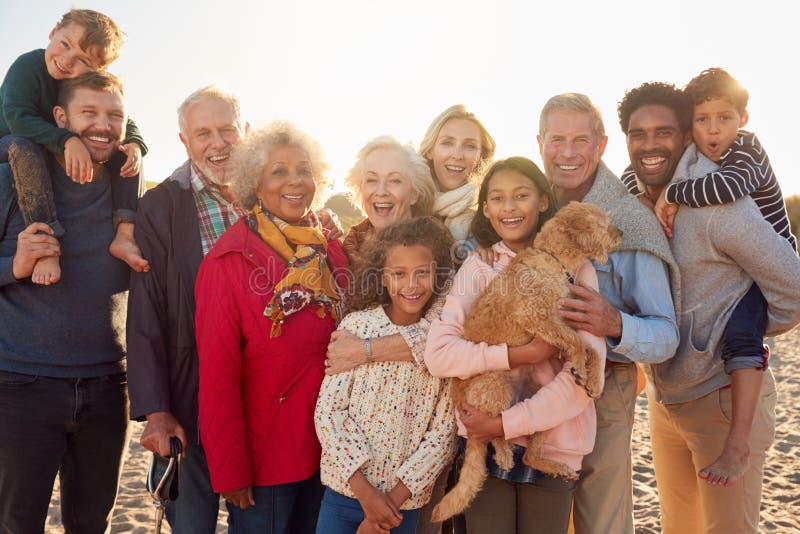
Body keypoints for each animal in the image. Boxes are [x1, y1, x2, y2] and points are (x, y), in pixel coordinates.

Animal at [434, 202, 620, 524]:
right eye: (602, 223)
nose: (620, 233)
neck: (553, 260)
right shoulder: (538, 318)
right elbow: (578, 343)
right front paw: (581, 368)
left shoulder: (566, 324)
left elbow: (591, 349)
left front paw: (592, 380)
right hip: (495, 387)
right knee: (494, 432)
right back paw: (505, 454)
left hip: (544, 407)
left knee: (530, 450)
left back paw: (555, 465)